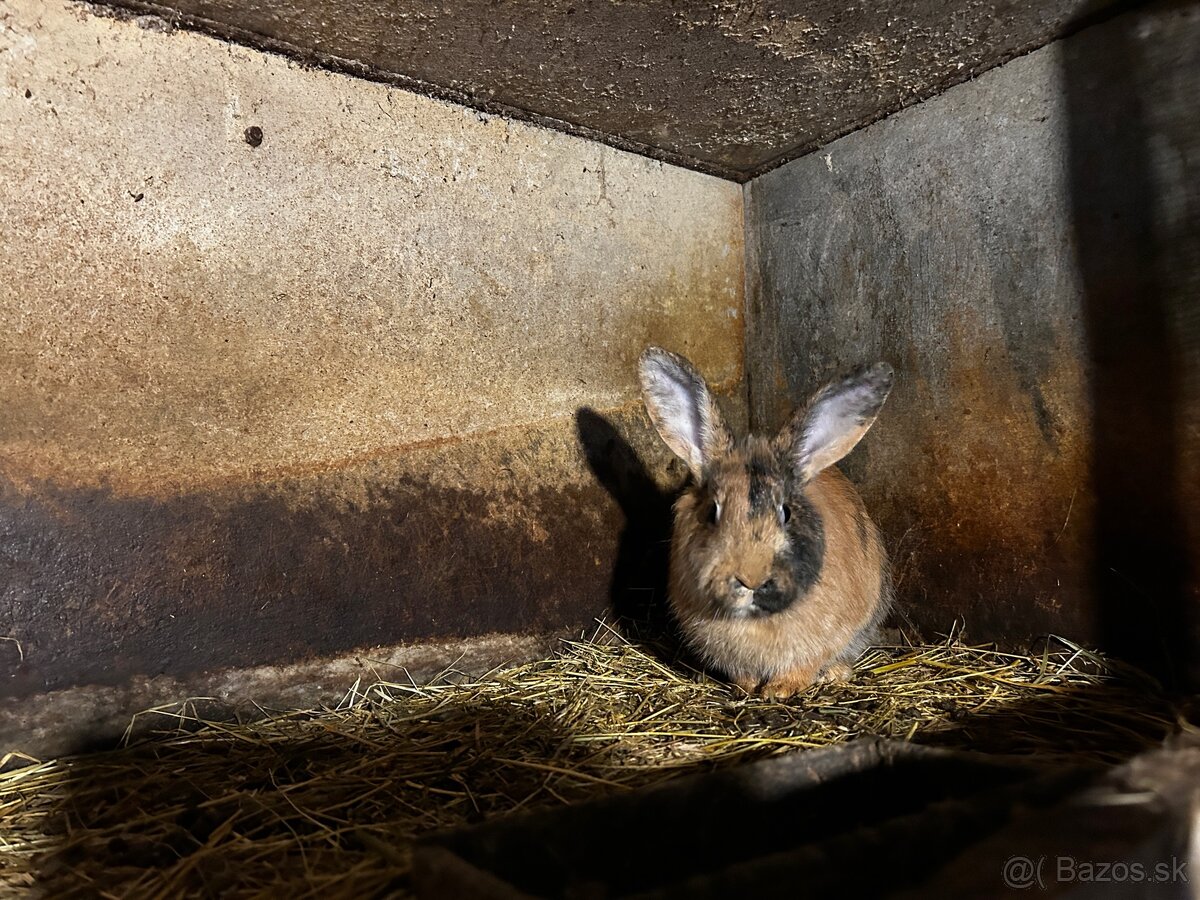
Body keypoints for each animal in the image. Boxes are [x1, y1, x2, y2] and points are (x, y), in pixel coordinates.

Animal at [638, 348, 892, 700]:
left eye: (786, 513)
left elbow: (804, 665)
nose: (751, 578)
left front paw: (779, 690)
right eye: (712, 511)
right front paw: (747, 687)